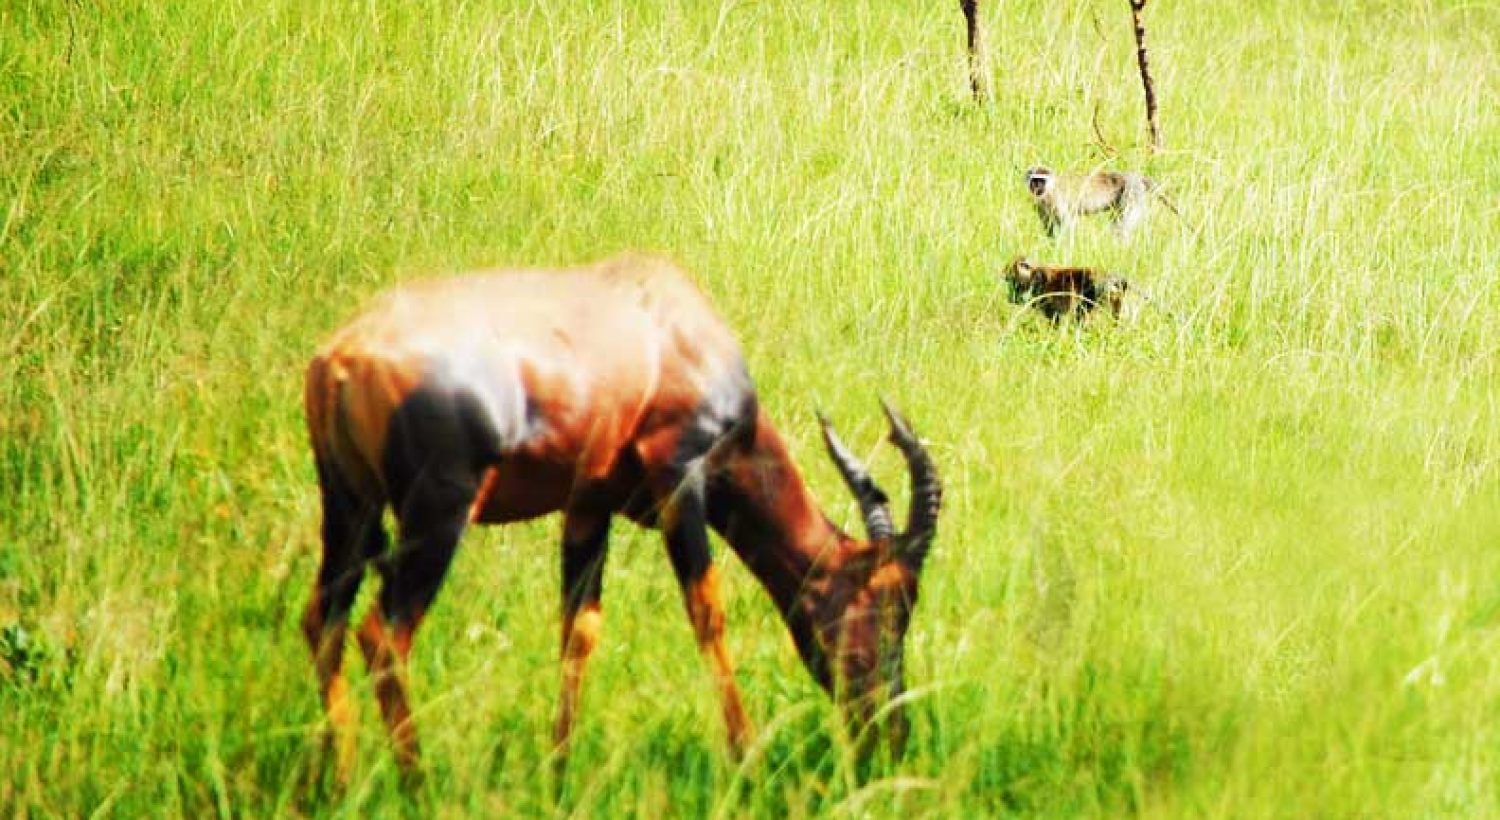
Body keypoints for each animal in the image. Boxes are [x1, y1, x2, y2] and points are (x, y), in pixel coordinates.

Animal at [298, 251, 942, 785]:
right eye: (891, 601)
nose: (889, 733)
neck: (671, 324)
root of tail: (344, 358)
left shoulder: (588, 506)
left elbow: (579, 630)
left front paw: (559, 773)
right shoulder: (680, 476)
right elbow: (708, 613)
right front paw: (748, 760)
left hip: (349, 506)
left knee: (321, 621)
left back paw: (335, 780)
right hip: (438, 515)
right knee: (382, 636)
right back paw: (417, 784)